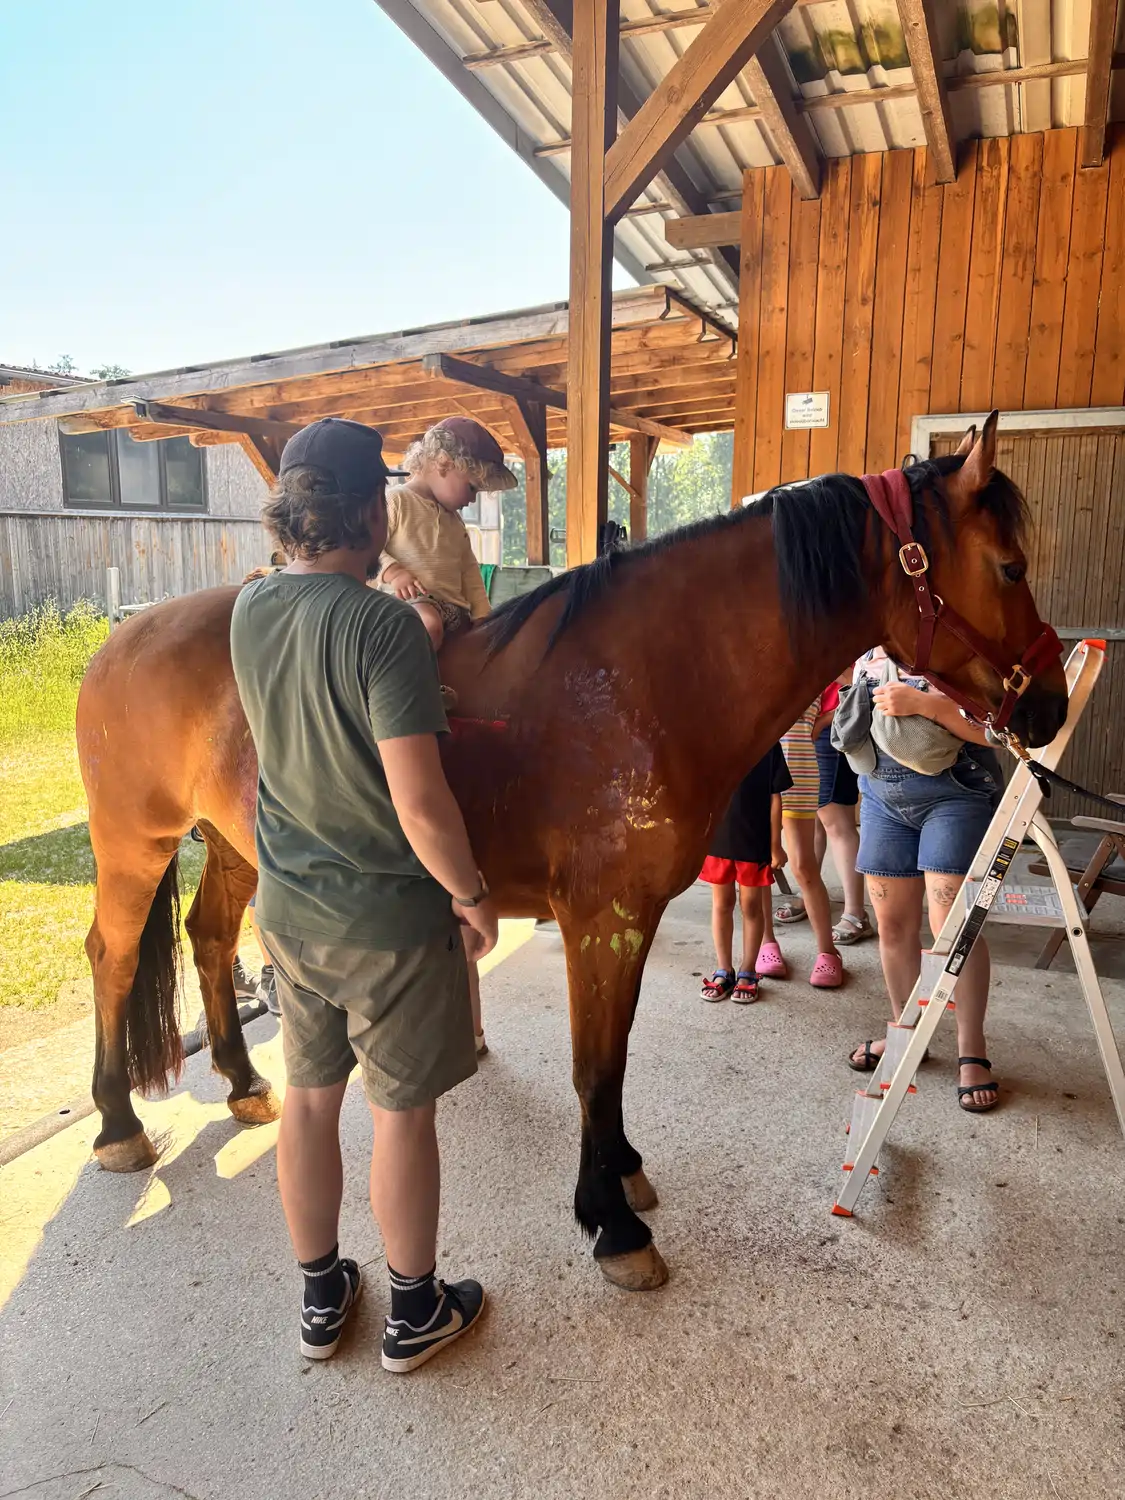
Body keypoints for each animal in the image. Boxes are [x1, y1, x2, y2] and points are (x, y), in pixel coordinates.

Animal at [76, 414, 1067, 1291]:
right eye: (1008, 566)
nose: (1051, 705)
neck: (635, 683)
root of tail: (123, 634)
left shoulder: (627, 920)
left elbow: (614, 1057)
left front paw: (621, 1170)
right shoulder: (601, 919)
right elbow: (595, 1064)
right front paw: (612, 1223)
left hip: (232, 848)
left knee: (208, 940)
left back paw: (244, 1082)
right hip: (134, 846)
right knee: (113, 956)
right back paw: (118, 1124)